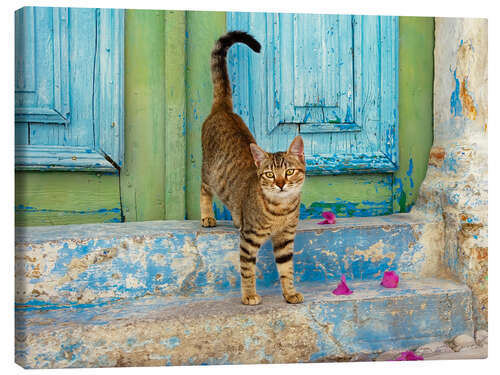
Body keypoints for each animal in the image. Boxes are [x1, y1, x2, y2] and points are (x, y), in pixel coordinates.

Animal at [201, 30, 306, 306]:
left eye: (289, 172)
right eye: (269, 174)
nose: (280, 184)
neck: (281, 211)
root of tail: (223, 109)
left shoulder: (285, 239)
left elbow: (287, 269)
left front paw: (290, 293)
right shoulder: (249, 239)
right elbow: (247, 269)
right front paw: (249, 295)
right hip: (208, 171)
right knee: (204, 190)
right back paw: (207, 216)